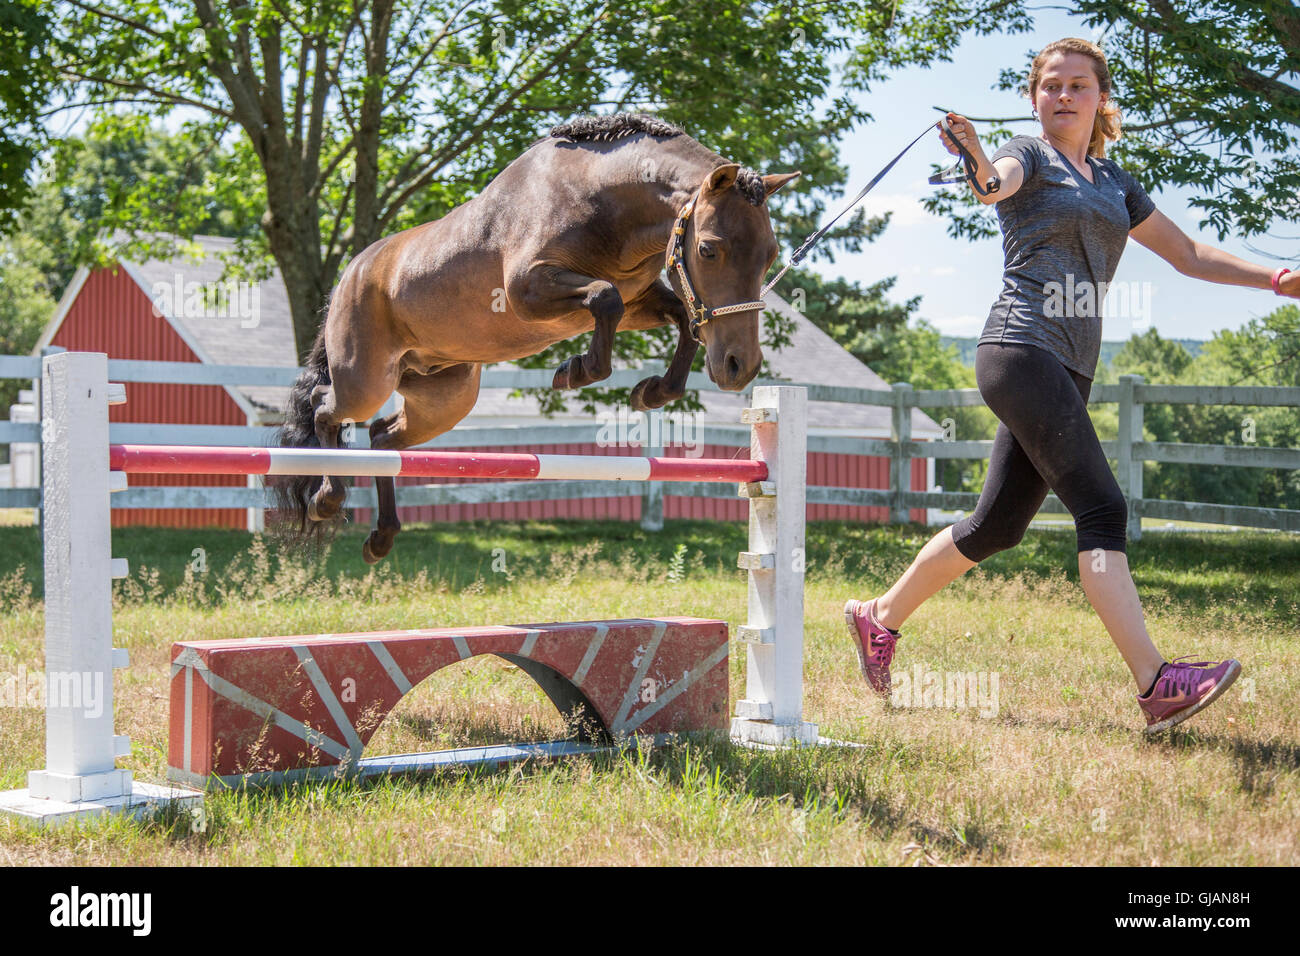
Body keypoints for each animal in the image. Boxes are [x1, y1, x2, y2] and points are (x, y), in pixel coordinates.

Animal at [276, 111, 790, 561]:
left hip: (443, 396)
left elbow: (681, 319)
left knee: (382, 436)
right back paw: (326, 499)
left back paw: (382, 537)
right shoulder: (529, 291)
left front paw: (653, 392)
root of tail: (348, 276)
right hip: (366, 378)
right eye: (708, 250)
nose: (740, 367)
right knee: (325, 409)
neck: (601, 201)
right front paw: (576, 371)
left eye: (770, 254)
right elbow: (604, 298)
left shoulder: (639, 302)